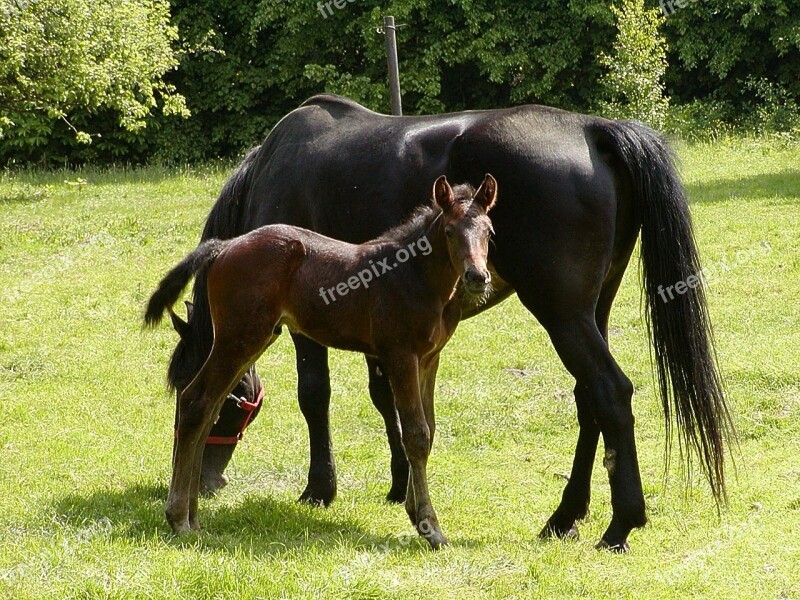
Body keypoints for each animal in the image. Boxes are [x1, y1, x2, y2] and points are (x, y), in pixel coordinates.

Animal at [143, 173, 494, 548]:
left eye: (489, 231)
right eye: (450, 231)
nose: (477, 277)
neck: (414, 276)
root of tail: (224, 246)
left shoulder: (430, 359)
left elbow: (429, 429)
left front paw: (416, 513)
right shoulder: (400, 355)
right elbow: (415, 433)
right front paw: (431, 528)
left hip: (252, 339)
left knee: (209, 407)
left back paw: (193, 518)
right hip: (239, 338)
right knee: (196, 400)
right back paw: (179, 518)